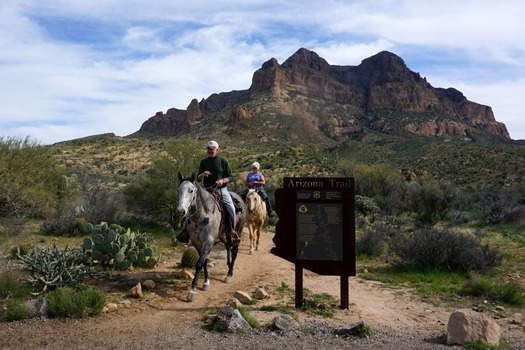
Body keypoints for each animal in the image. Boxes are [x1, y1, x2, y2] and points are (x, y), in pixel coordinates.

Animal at [174, 172, 244, 300]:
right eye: (178, 190)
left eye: (191, 190)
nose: (180, 211)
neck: (202, 215)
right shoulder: (196, 242)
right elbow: (204, 261)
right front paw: (206, 282)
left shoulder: (208, 241)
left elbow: (199, 263)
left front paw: (192, 290)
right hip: (223, 236)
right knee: (228, 247)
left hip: (238, 231)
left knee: (235, 251)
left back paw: (229, 275)